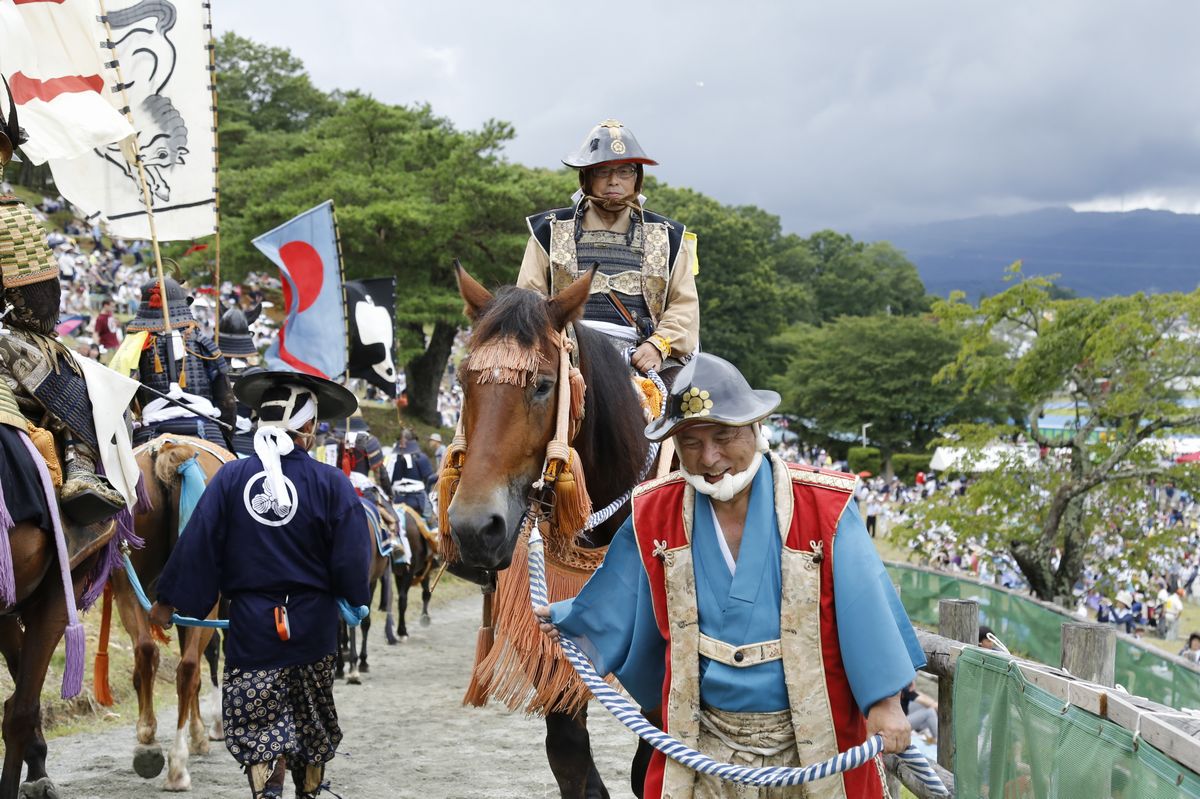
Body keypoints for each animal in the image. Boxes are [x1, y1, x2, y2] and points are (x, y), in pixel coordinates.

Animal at [105, 436, 234, 791]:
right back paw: (177, 761)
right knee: (188, 668)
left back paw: (149, 742)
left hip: (130, 588)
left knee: (148, 652)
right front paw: (203, 732)